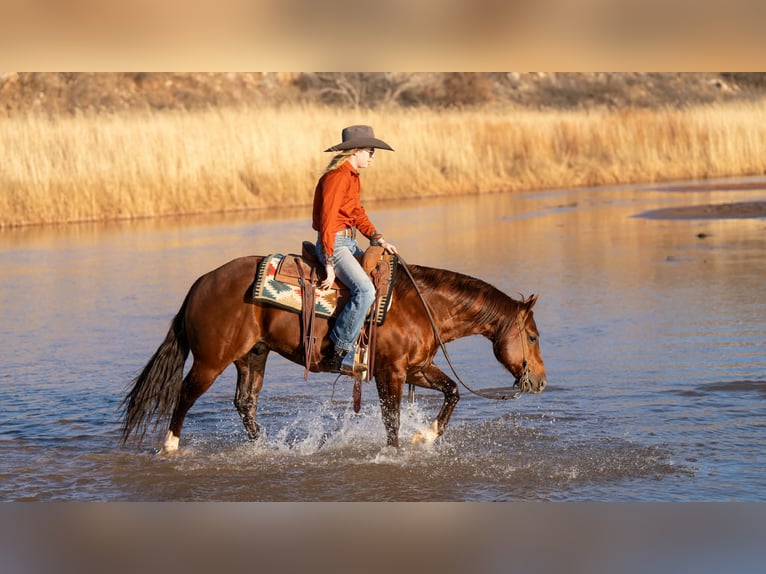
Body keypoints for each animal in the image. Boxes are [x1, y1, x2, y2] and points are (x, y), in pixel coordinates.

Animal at [120, 254, 547, 452]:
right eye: (532, 335)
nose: (541, 381)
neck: (421, 305)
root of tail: (202, 283)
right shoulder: (391, 372)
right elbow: (391, 419)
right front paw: (394, 452)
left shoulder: (417, 368)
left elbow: (452, 392)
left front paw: (425, 436)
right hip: (212, 360)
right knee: (185, 394)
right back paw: (170, 446)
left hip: (253, 355)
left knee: (245, 403)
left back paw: (266, 448)